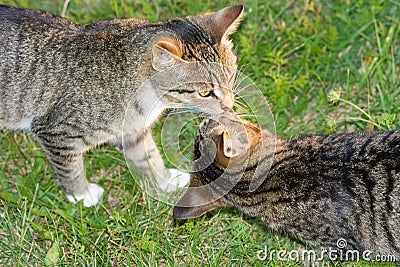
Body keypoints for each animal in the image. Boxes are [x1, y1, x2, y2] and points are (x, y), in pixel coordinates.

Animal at [0, 4, 244, 207]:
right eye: (204, 93)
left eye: (231, 76)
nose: (229, 105)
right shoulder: (55, 134)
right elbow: (70, 170)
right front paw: (82, 196)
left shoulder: (133, 131)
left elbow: (149, 155)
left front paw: (166, 180)